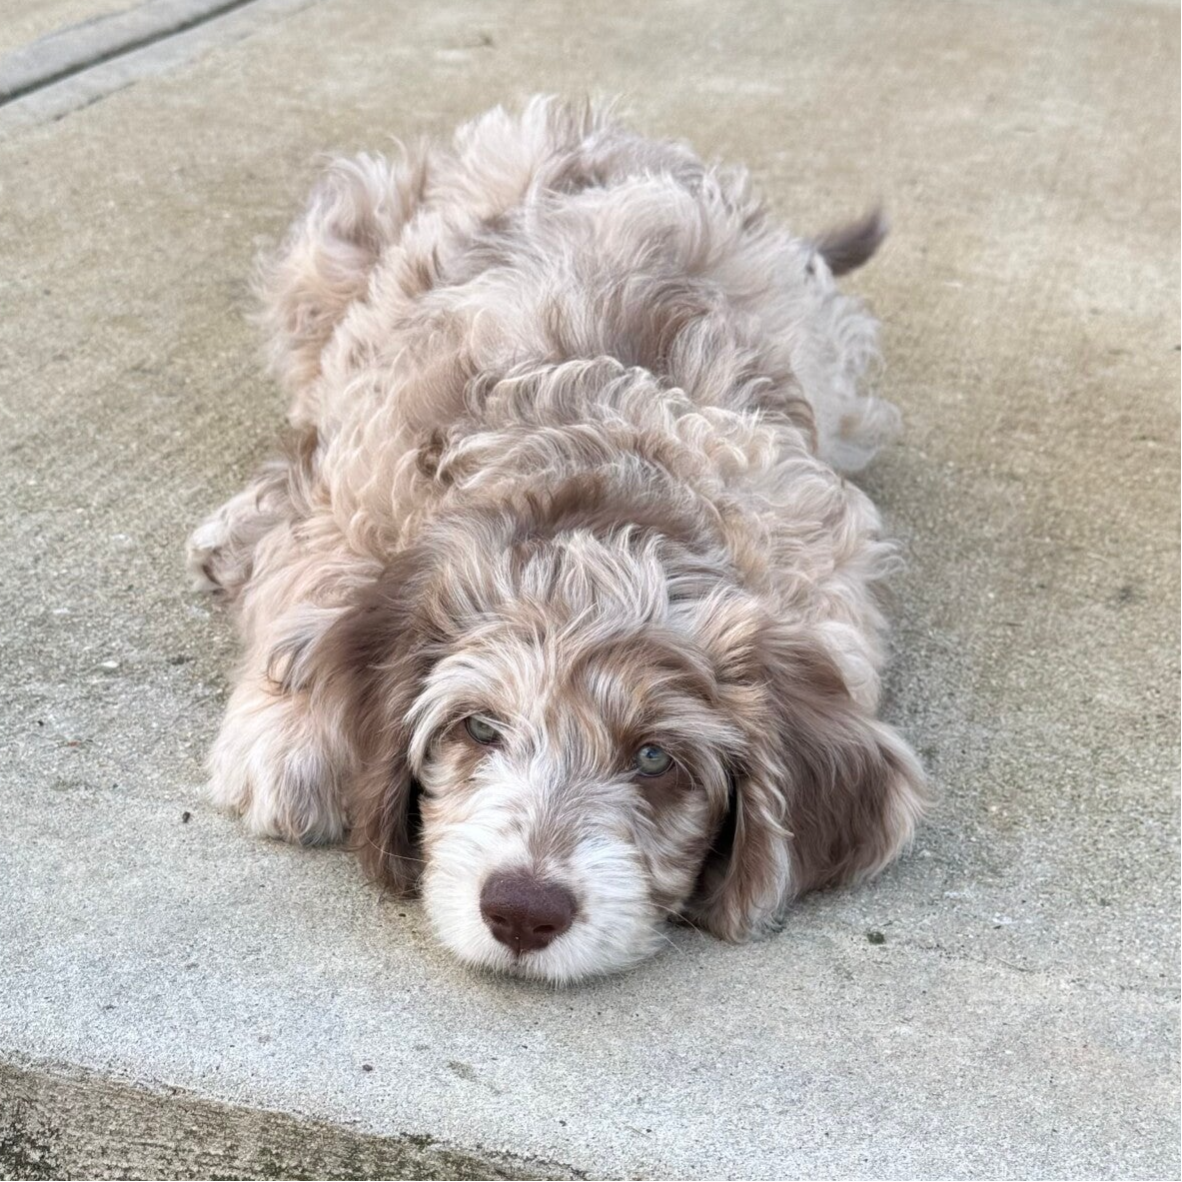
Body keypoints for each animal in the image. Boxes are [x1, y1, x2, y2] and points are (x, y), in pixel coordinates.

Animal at [187, 97, 926, 982]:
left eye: (655, 760)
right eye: (478, 728)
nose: (523, 909)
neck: (608, 475)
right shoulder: (366, 474)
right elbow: (317, 561)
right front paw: (292, 736)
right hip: (333, 267)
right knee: (299, 438)